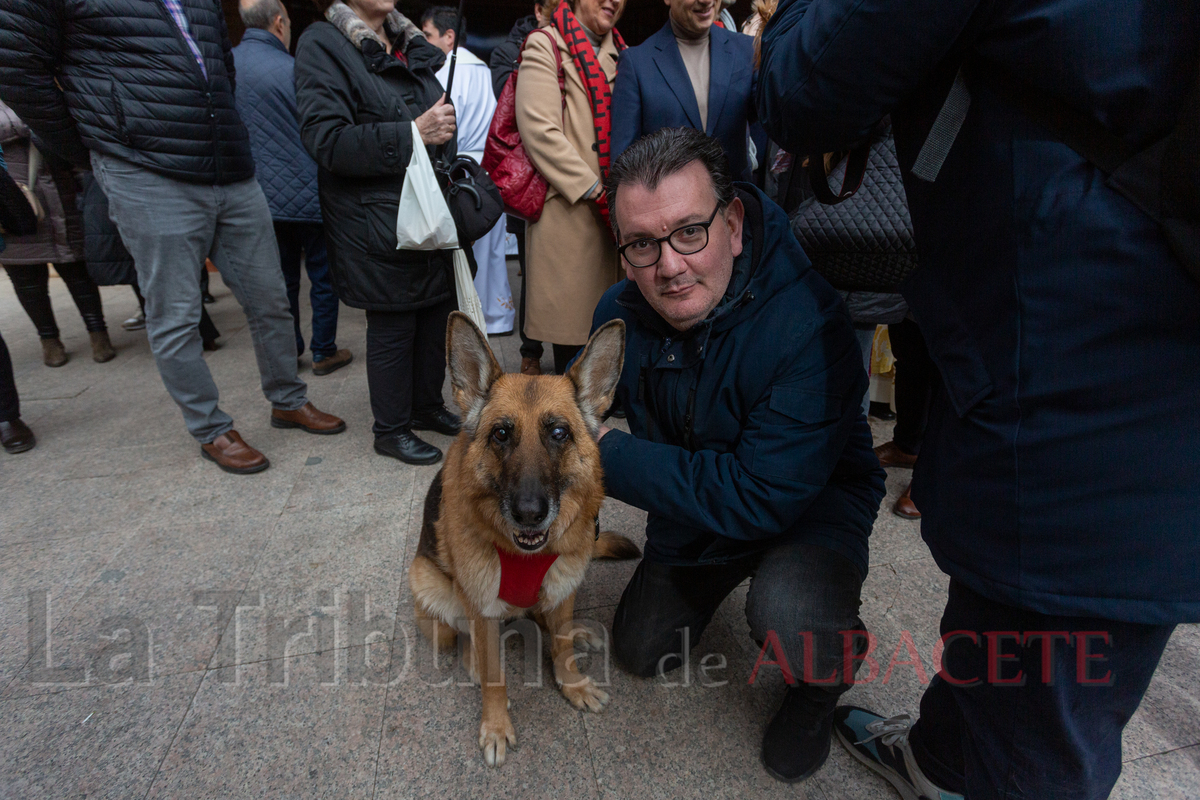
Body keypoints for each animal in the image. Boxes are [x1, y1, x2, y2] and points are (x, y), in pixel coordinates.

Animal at [410, 311, 643, 767]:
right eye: (501, 434)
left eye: (559, 433)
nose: (530, 513)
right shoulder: (481, 608)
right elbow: (494, 676)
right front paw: (496, 725)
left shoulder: (564, 586)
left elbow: (563, 645)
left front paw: (572, 683)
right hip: (432, 588)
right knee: (460, 635)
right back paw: (473, 662)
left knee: (552, 622)